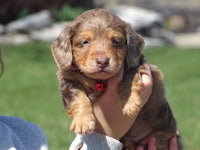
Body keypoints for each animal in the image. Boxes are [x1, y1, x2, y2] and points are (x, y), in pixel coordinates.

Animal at [50, 8, 182, 150]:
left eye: (115, 41)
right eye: (85, 42)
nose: (102, 61)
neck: (99, 80)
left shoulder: (136, 64)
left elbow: (128, 81)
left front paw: (130, 104)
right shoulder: (68, 79)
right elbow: (78, 97)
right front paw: (83, 122)